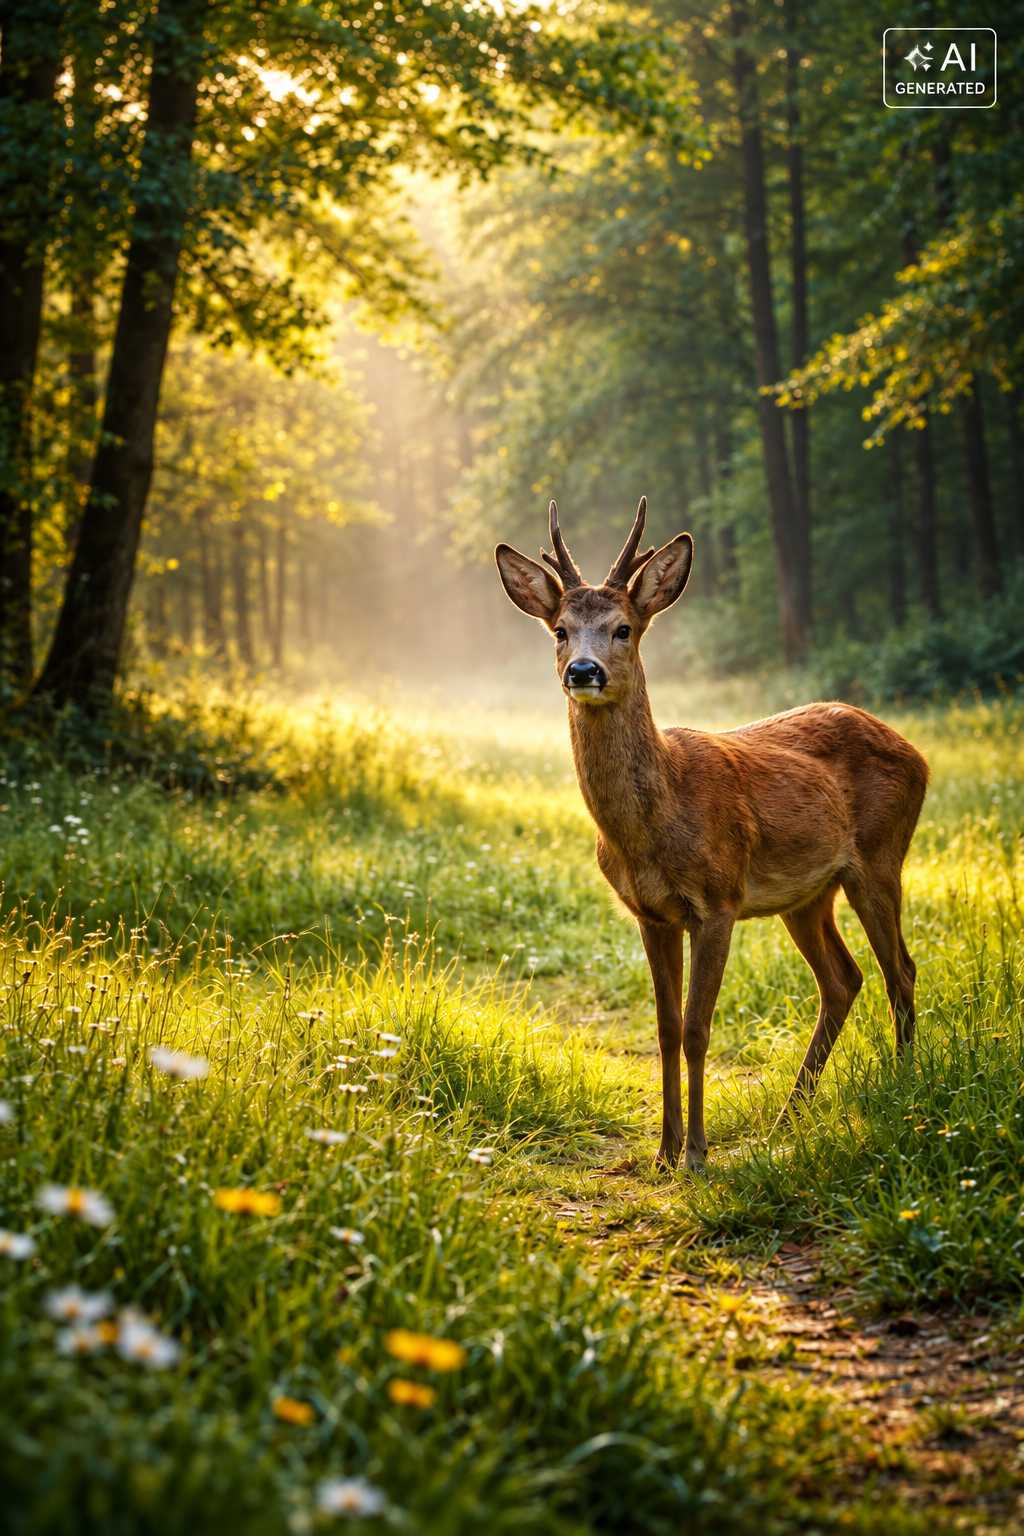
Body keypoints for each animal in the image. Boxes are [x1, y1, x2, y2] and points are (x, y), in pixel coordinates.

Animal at [495, 499, 929, 1171]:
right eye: (561, 629)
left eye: (624, 628)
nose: (584, 671)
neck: (654, 824)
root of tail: (917, 753)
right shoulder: (651, 913)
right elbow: (666, 1027)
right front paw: (663, 1150)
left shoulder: (719, 899)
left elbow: (699, 1028)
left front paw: (697, 1153)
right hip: (808, 895)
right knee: (843, 979)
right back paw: (787, 1118)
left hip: (882, 857)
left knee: (900, 971)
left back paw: (902, 1089)